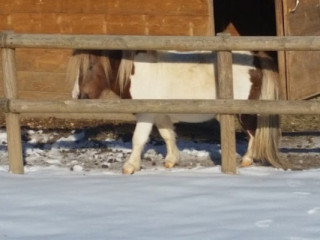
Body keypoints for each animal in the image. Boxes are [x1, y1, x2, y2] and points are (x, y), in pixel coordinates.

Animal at [67, 49, 288, 174]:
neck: (137, 73)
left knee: (253, 133)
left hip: (244, 112)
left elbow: (138, 139)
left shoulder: (146, 114)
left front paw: (130, 166)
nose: (78, 96)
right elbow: (168, 136)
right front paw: (171, 160)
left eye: (90, 66)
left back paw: (247, 159)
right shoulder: (161, 114)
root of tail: (256, 59)